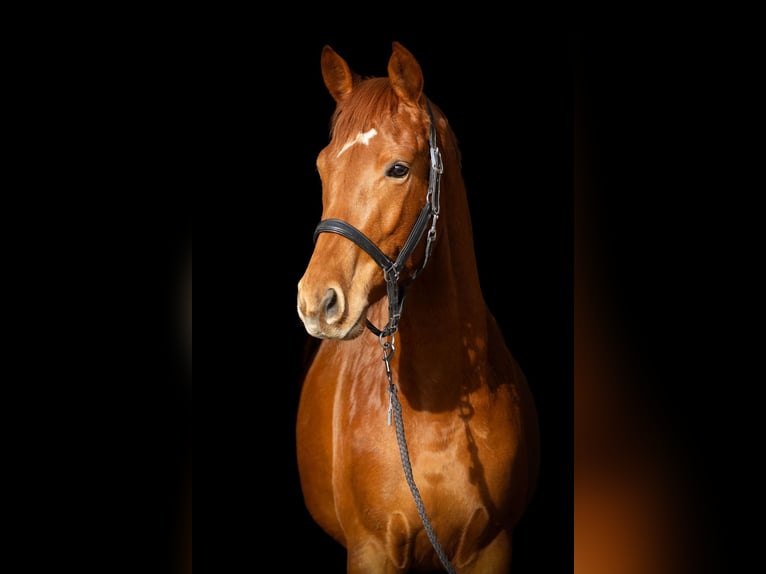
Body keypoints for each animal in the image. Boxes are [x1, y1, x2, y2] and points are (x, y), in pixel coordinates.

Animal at [296, 41, 540, 573]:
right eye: (322, 166)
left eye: (398, 169)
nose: (316, 302)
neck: (440, 412)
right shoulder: (371, 551)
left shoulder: (491, 549)